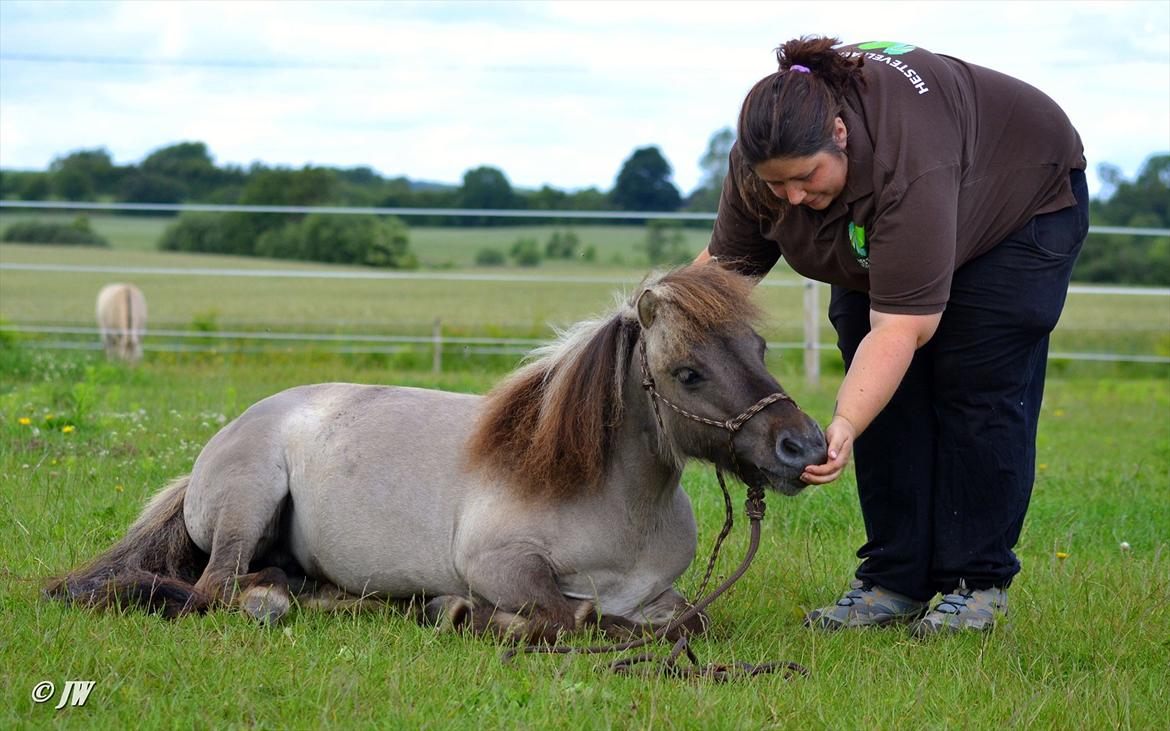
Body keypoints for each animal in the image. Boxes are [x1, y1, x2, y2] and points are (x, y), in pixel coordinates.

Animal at [50, 265, 828, 640]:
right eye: (687, 373)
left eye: (759, 348)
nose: (805, 445)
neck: (615, 503)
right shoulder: (501, 565)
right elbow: (571, 616)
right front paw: (463, 613)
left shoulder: (661, 594)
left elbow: (689, 618)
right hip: (247, 504)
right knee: (214, 590)